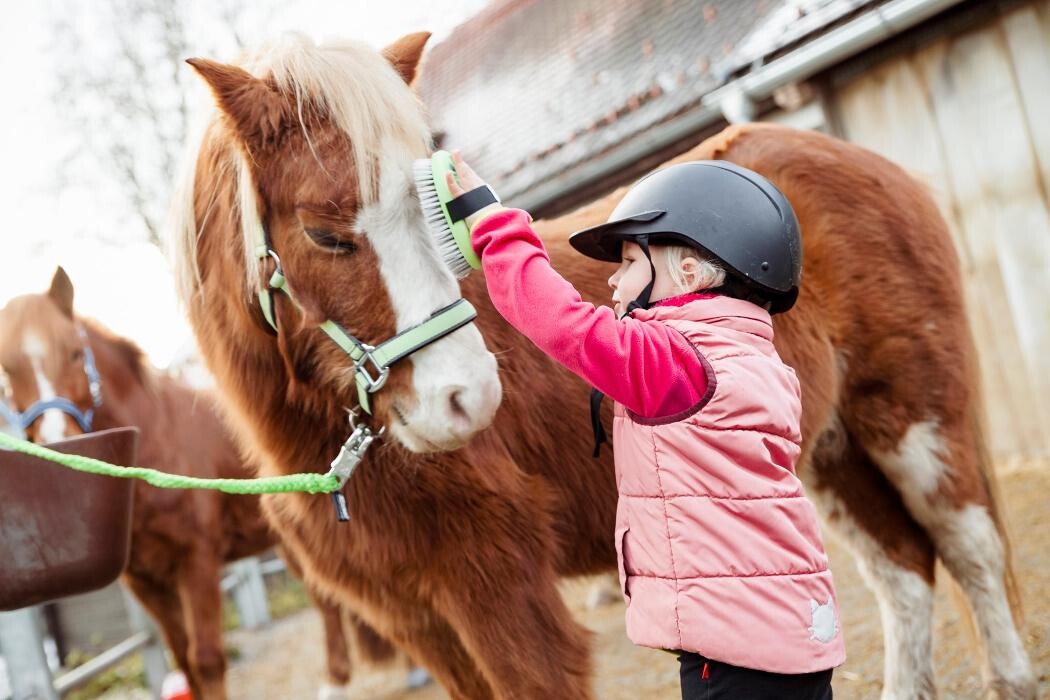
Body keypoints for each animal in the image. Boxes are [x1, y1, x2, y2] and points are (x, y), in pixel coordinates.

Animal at [0, 268, 394, 700]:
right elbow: (183, 660)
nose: (58, 440)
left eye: (73, 352)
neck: (158, 443)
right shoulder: (148, 583)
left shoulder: (197, 561)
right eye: (6, 371)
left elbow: (206, 659)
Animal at [174, 32, 1033, 700]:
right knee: (904, 578)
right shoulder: (424, 622)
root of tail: (860, 162)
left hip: (914, 418)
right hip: (828, 451)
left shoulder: (501, 598)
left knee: (971, 550)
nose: (466, 399)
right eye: (323, 233)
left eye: (434, 208)